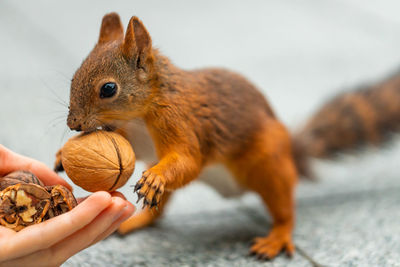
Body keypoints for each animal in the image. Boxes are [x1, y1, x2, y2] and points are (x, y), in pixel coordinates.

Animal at [54, 12, 400, 262]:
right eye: (73, 78)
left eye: (108, 89)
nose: (74, 124)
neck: (143, 112)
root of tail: (293, 153)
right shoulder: (133, 138)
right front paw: (60, 156)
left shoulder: (183, 124)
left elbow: (189, 161)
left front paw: (155, 178)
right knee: (160, 212)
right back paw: (137, 221)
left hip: (271, 167)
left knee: (285, 211)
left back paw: (276, 238)